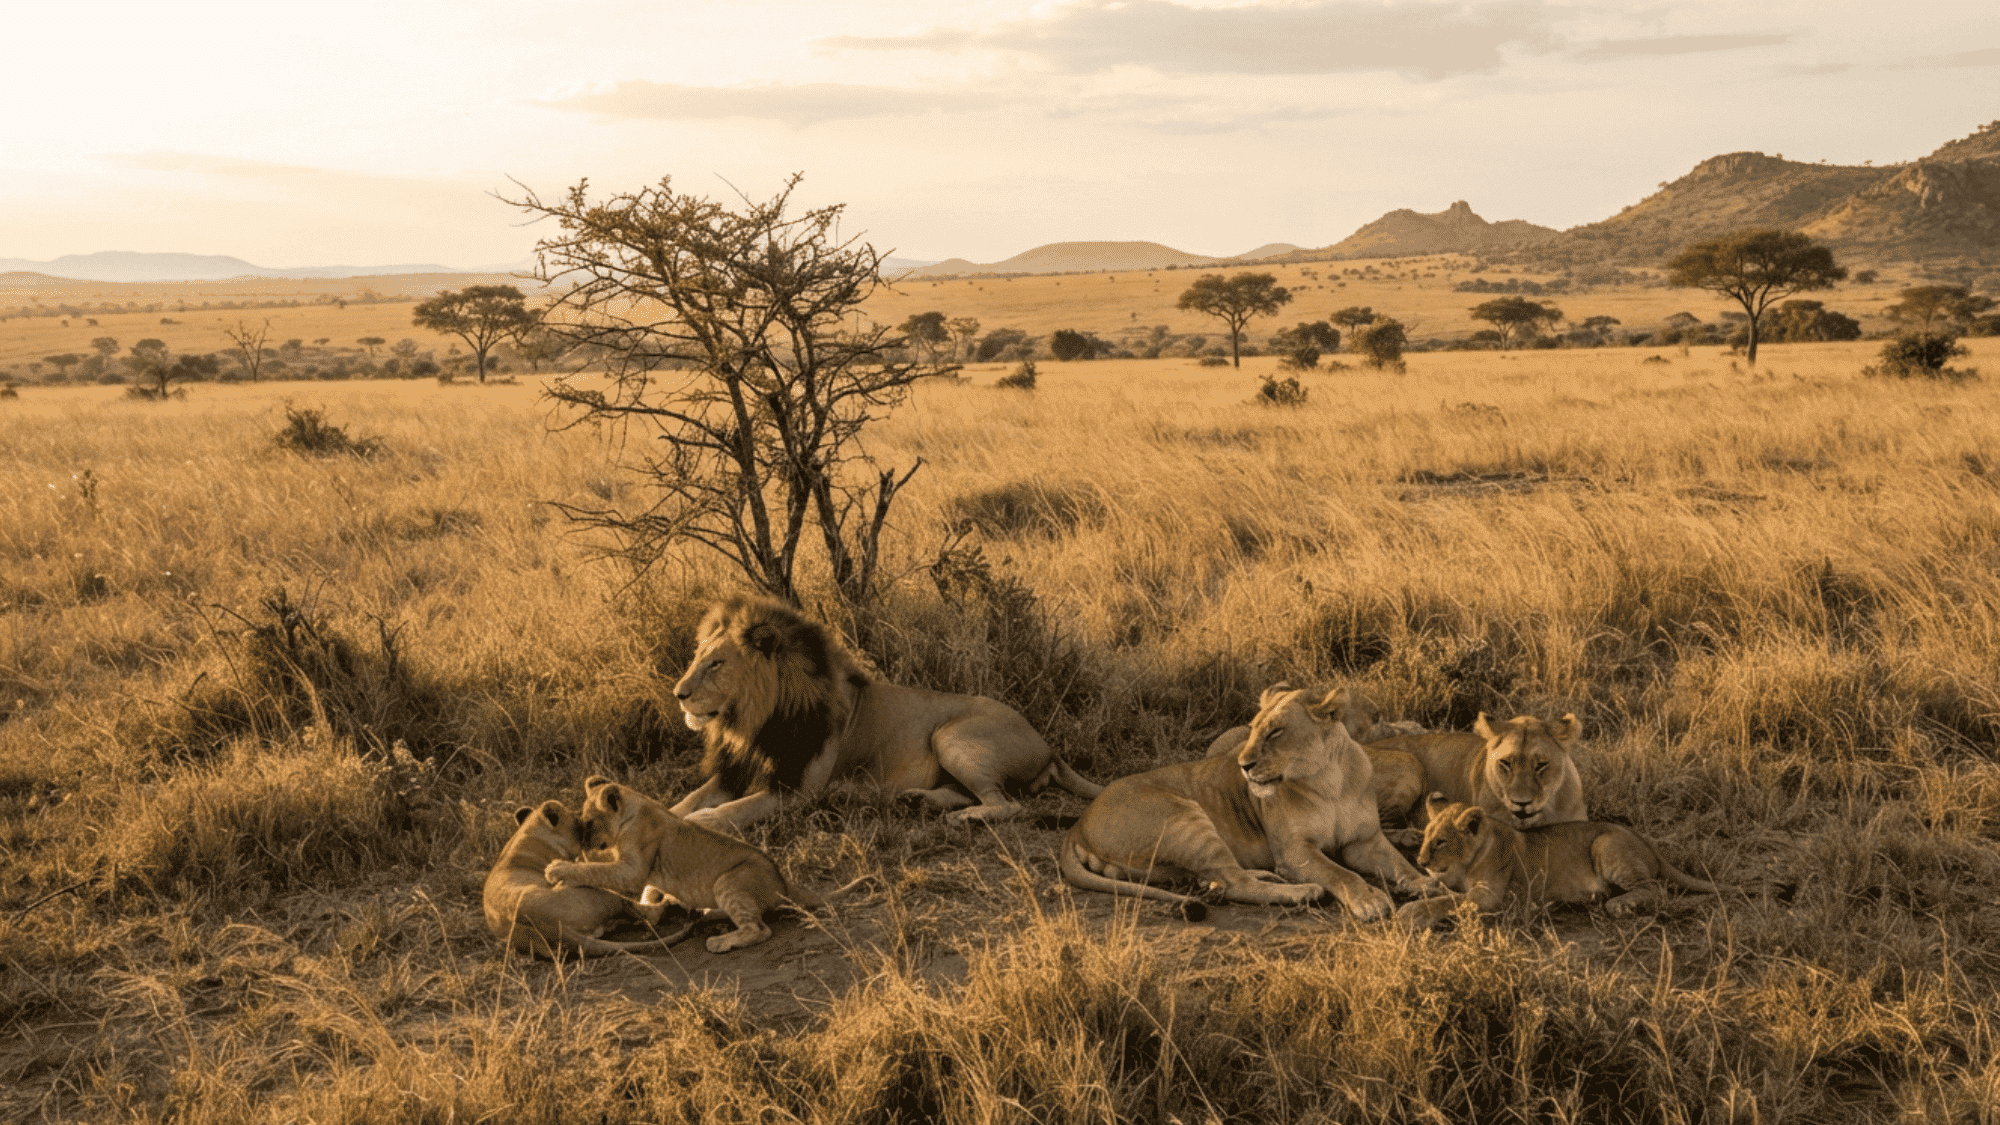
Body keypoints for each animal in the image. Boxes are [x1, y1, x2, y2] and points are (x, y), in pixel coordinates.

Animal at [482, 799, 695, 959]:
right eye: (577, 819)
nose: (585, 818)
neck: (527, 836)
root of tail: (553, 927)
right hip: (602, 893)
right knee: (650, 914)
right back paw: (668, 902)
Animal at [544, 776, 867, 954]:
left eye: (589, 822)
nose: (583, 839)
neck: (633, 810)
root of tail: (784, 882)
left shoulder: (632, 871)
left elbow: (598, 871)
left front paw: (558, 870)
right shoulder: (642, 873)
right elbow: (649, 895)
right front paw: (651, 912)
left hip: (729, 881)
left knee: (759, 929)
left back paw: (719, 941)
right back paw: (708, 914)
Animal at [669, 595, 1101, 832]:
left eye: (717, 664)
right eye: (697, 656)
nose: (678, 694)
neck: (750, 724)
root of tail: (1047, 747)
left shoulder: (799, 789)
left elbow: (739, 808)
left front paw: (703, 822)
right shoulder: (736, 771)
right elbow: (690, 798)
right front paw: (668, 818)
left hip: (950, 736)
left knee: (1009, 805)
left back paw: (964, 818)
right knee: (970, 794)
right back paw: (918, 801)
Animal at [1060, 684, 1430, 921]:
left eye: (1276, 732)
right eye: (1251, 729)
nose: (1243, 765)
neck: (1330, 780)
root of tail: (1079, 823)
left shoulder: (1363, 841)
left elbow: (1399, 863)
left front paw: (1423, 883)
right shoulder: (1295, 851)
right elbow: (1341, 873)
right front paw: (1369, 900)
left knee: (1221, 877)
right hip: (1184, 818)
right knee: (1235, 883)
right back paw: (1300, 891)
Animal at [1396, 794, 1725, 928]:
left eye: (1441, 842)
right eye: (1425, 836)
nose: (1421, 860)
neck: (1464, 866)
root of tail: (1647, 842)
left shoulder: (1489, 897)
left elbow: (1446, 901)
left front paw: (1411, 912)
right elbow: (1439, 888)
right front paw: (1413, 885)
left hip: (1605, 844)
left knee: (1655, 889)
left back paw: (1619, 904)